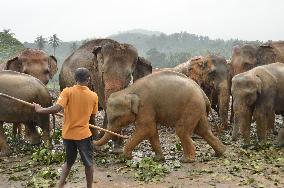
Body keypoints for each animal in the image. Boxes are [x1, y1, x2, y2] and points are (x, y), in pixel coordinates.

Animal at [93, 70, 226, 163]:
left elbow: (145, 129)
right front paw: (158, 159)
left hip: (191, 107)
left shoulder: (146, 106)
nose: (93, 141)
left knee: (182, 131)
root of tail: (203, 94)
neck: (129, 91)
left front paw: (125, 157)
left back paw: (187, 160)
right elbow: (152, 131)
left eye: (116, 118)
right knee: (203, 130)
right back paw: (221, 152)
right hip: (198, 110)